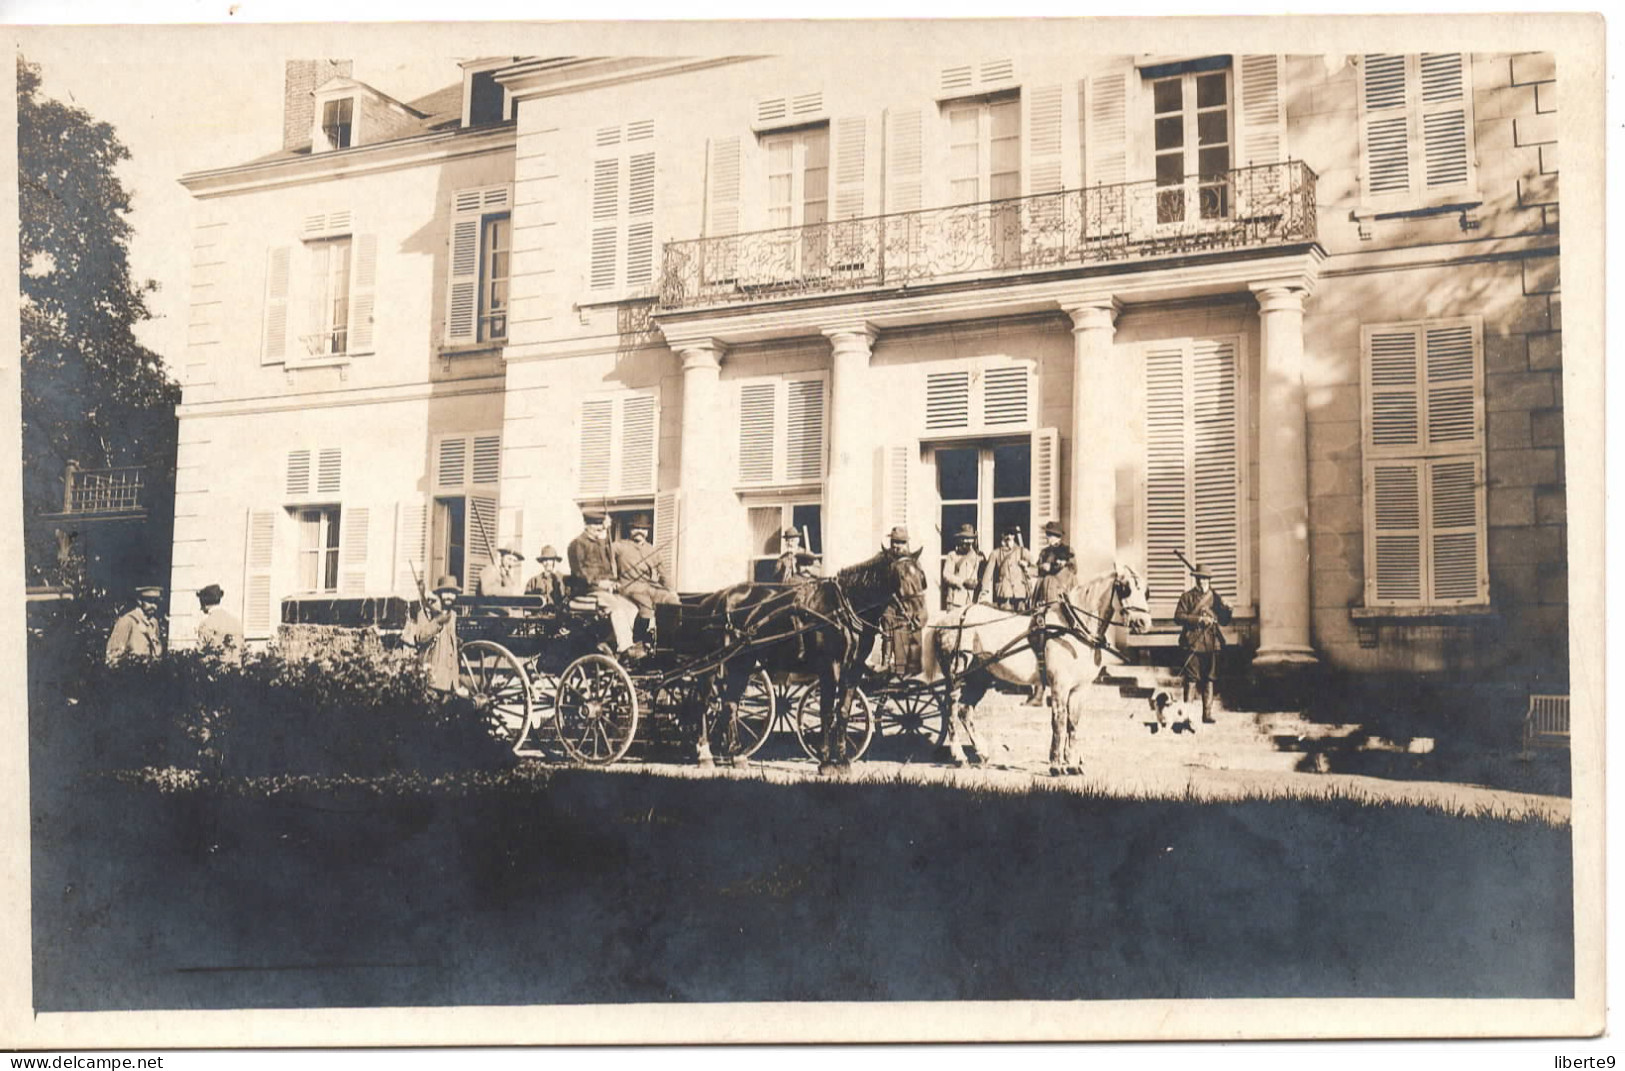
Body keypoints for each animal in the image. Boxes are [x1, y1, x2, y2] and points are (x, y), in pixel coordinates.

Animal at [698, 552, 929, 770]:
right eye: (900, 578)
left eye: (922, 578)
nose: (921, 618)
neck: (844, 610)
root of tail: (717, 598)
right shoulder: (830, 667)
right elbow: (826, 712)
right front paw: (825, 760)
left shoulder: (853, 670)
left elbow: (843, 711)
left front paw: (842, 759)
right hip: (718, 664)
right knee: (706, 702)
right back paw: (706, 754)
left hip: (742, 665)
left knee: (729, 704)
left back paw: (735, 754)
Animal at [923, 565, 1163, 773]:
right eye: (1125, 587)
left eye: (1146, 590)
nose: (1143, 622)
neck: (1073, 627)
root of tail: (947, 619)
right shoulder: (1059, 686)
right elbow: (1059, 721)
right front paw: (1056, 765)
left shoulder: (1079, 689)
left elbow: (1073, 724)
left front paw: (1072, 764)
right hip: (955, 677)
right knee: (951, 712)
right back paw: (959, 756)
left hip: (979, 677)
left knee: (965, 711)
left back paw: (982, 753)